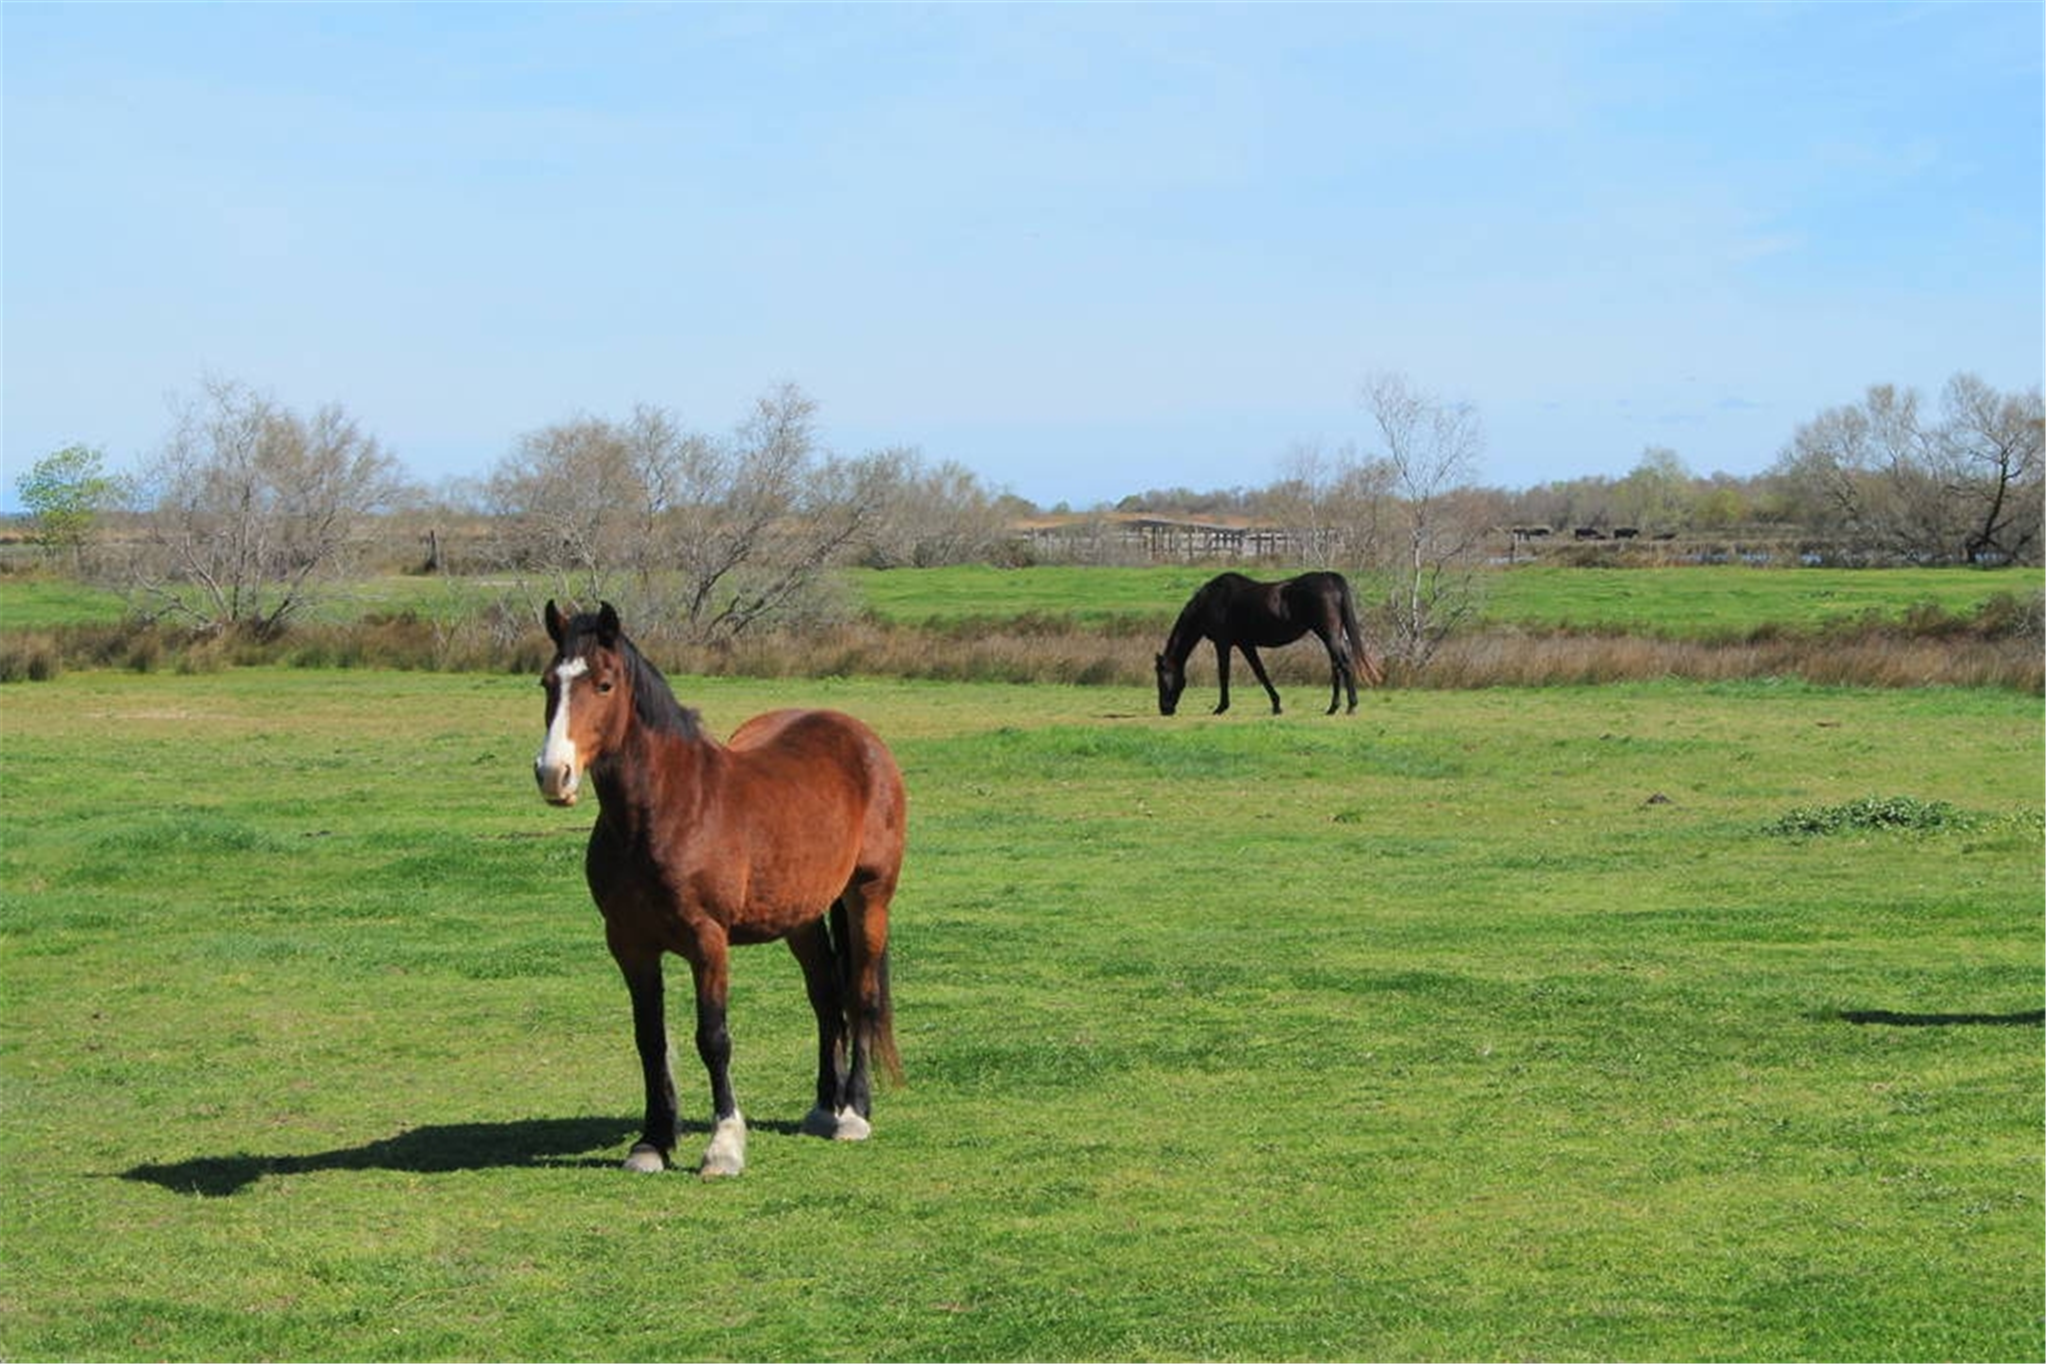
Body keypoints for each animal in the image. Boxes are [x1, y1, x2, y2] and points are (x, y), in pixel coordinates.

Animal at [536, 601, 904, 1177]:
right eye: (548, 682)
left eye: (603, 684)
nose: (554, 774)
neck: (668, 809)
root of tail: (862, 740)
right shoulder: (630, 945)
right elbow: (650, 1039)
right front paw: (653, 1141)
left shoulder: (707, 941)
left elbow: (713, 1038)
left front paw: (724, 1145)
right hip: (801, 917)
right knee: (825, 998)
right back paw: (825, 1106)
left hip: (869, 898)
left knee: (861, 995)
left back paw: (853, 1113)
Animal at [1153, 568, 1391, 715]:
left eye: (1162, 678)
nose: (1165, 709)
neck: (1212, 600)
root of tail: (1330, 578)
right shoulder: (1246, 644)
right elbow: (1261, 672)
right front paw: (1276, 705)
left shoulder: (1223, 643)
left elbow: (1224, 674)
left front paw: (1221, 707)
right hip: (1333, 635)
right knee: (1337, 665)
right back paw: (1333, 707)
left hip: (1328, 634)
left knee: (1344, 664)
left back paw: (1350, 707)